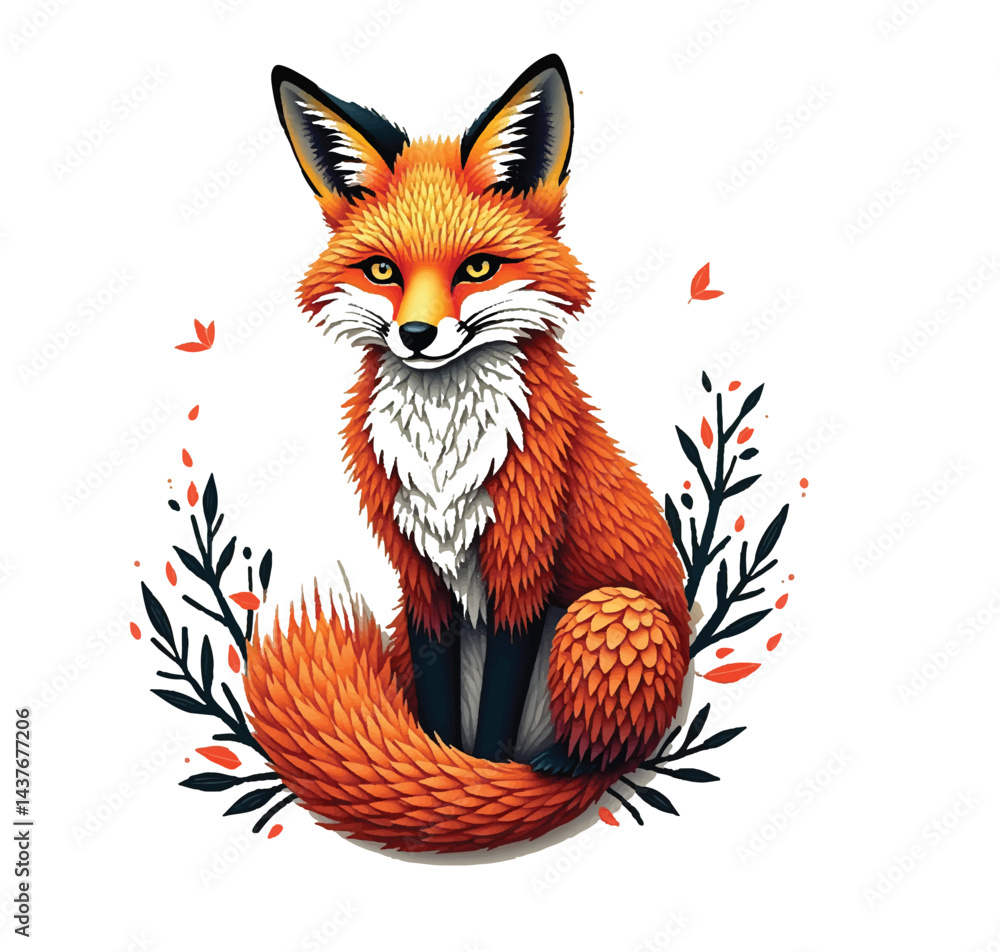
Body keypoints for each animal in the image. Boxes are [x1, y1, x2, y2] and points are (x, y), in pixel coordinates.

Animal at [244, 54, 691, 852]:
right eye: (382, 272)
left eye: (478, 269)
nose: (416, 336)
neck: (443, 447)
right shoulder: (418, 575)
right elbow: (437, 707)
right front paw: (439, 767)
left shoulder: (523, 563)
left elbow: (491, 731)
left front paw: (475, 781)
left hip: (610, 611)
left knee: (592, 757)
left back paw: (553, 766)